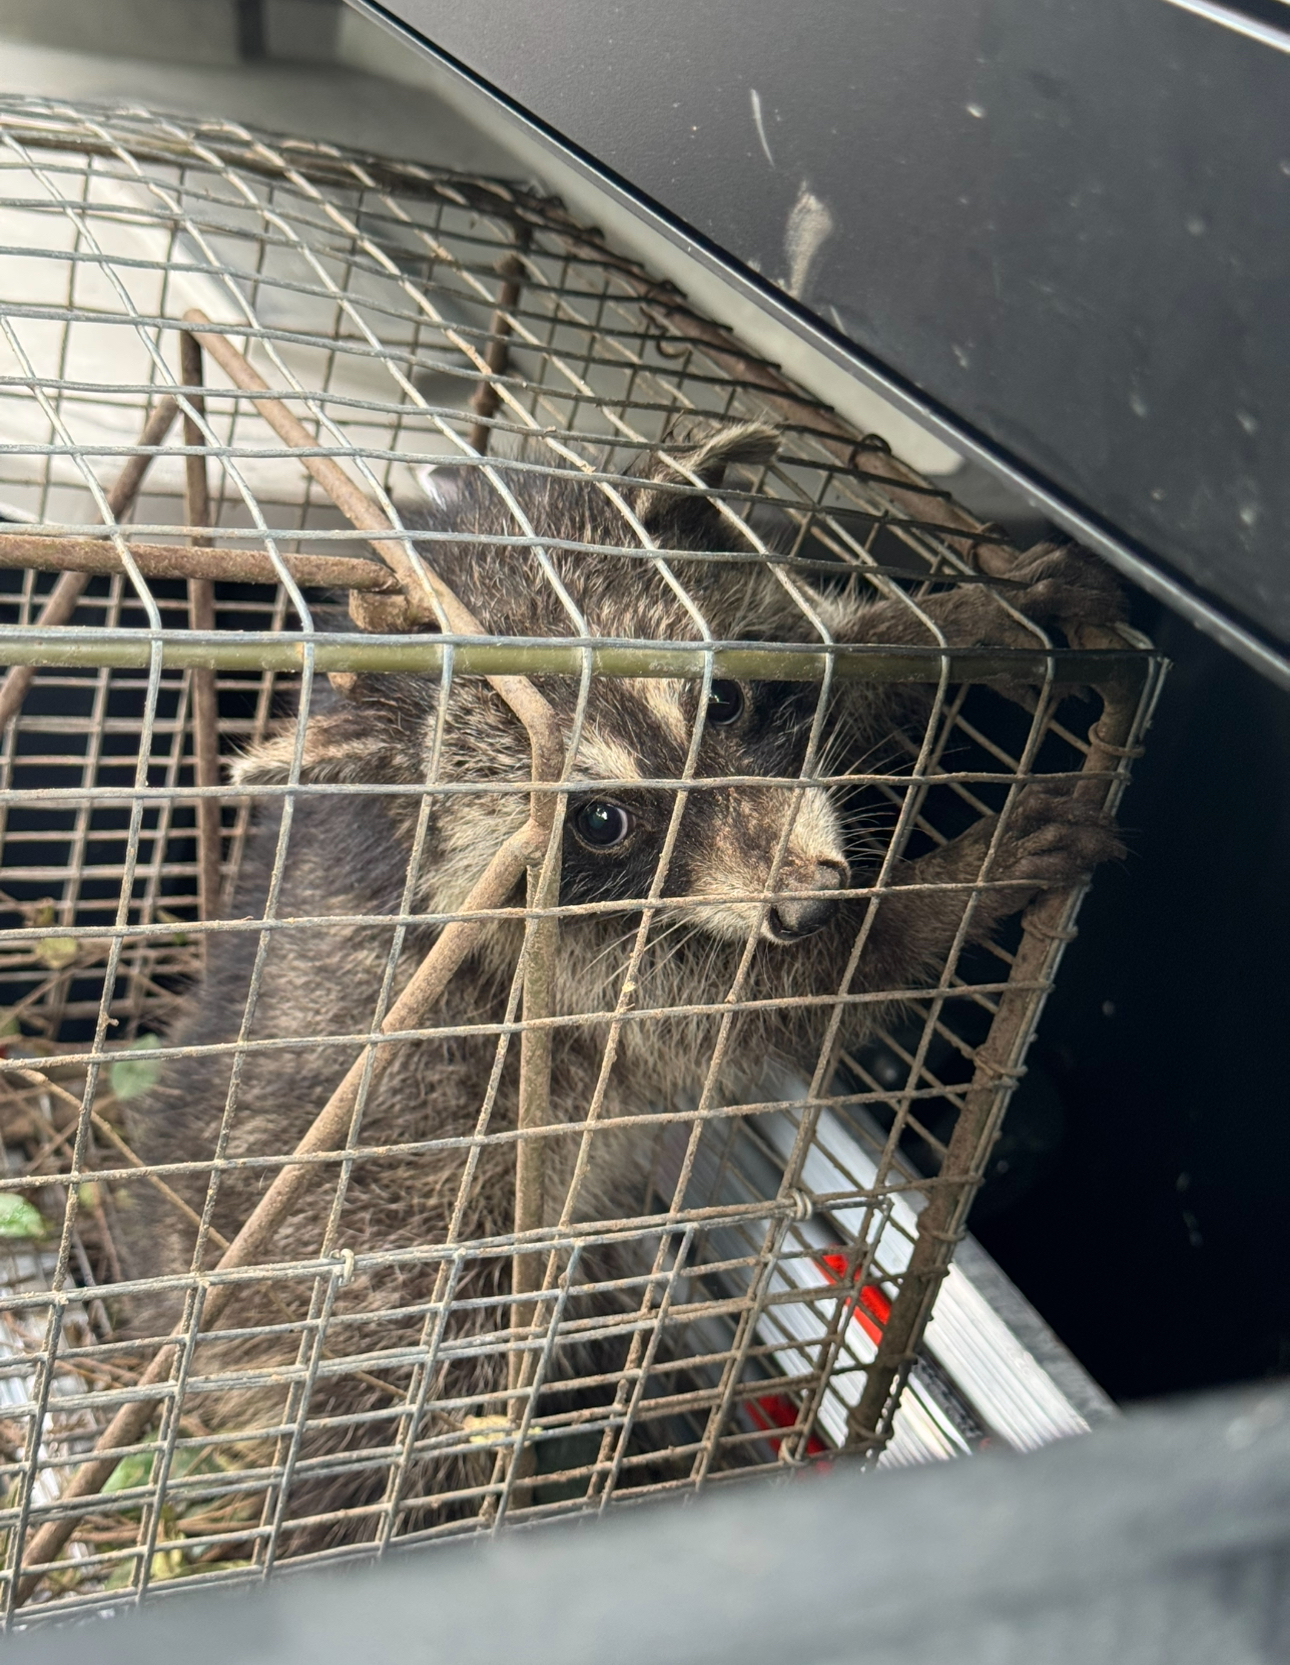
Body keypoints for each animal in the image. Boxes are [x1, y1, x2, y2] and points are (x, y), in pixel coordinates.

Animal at [123, 423, 1123, 1544]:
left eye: (725, 699)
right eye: (601, 822)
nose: (807, 902)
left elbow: (862, 657)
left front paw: (950, 625)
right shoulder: (551, 965)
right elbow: (749, 1011)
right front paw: (932, 897)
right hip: (371, 1281)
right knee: (409, 1414)